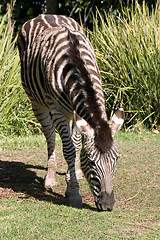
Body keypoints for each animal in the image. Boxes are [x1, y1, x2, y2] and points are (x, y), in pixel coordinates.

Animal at [17, 14, 125, 211]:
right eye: (91, 162)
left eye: (116, 159)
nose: (108, 205)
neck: (77, 64)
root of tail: (45, 15)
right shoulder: (59, 110)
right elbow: (68, 150)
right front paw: (74, 193)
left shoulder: (77, 111)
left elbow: (75, 145)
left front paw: (73, 176)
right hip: (37, 102)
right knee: (50, 136)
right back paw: (50, 177)